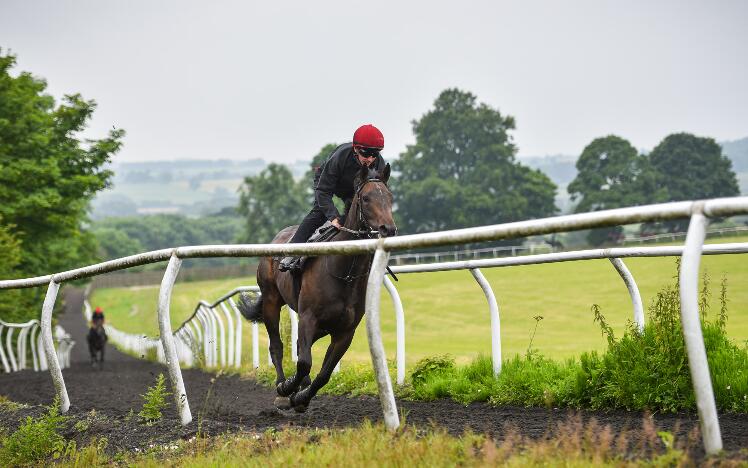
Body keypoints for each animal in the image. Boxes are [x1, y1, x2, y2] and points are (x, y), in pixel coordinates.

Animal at [240, 163, 398, 412]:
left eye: (390, 197)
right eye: (365, 198)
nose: (388, 229)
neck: (344, 272)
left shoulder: (345, 331)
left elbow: (324, 373)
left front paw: (302, 397)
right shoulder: (308, 318)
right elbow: (305, 362)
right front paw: (290, 389)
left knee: (298, 346)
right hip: (271, 300)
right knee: (277, 346)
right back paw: (282, 387)